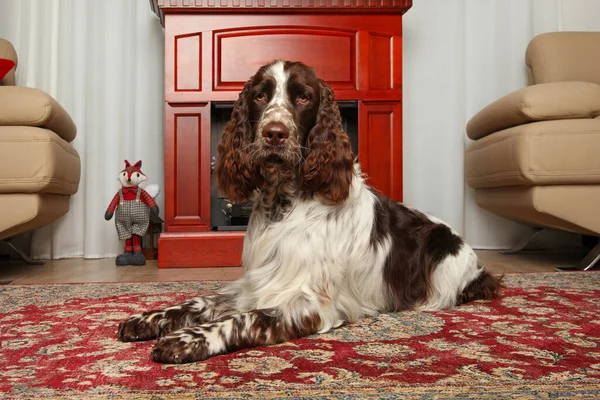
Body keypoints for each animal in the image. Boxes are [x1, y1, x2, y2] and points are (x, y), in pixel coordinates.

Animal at [117, 60, 502, 366]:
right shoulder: (253, 284)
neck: (283, 203)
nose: (274, 134)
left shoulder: (309, 303)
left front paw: (187, 339)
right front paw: (148, 319)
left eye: (303, 97)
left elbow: (241, 320)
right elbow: (197, 302)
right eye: (260, 96)